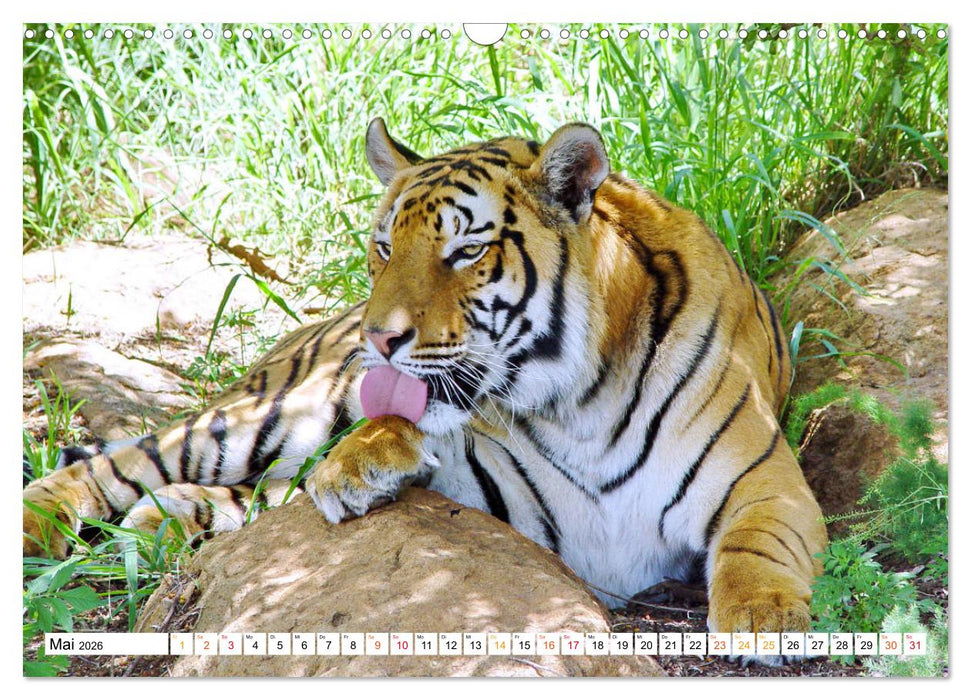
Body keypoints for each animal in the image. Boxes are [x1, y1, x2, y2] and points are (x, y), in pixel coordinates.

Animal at [23, 118, 827, 637]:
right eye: (383, 247)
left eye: (465, 251)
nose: (378, 339)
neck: (578, 402)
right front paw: (362, 467)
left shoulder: (766, 477)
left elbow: (759, 545)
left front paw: (762, 618)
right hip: (263, 414)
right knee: (119, 464)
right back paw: (44, 528)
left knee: (245, 498)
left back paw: (163, 520)